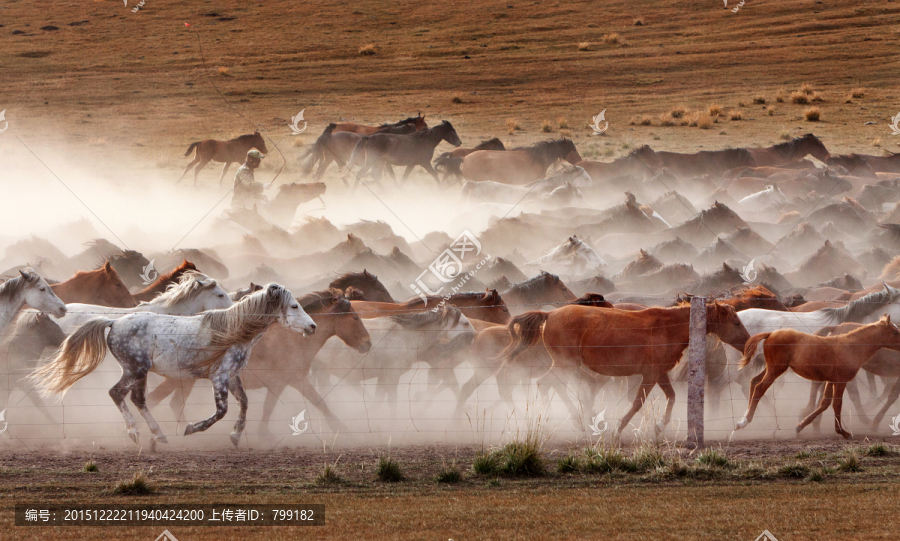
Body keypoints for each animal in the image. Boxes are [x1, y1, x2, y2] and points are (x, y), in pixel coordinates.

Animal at [30, 284, 316, 446]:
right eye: (294, 305)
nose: (312, 326)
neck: (231, 332)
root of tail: (113, 323)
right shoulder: (219, 378)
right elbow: (221, 411)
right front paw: (191, 429)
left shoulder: (232, 376)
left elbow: (244, 403)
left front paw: (235, 436)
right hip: (135, 369)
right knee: (117, 393)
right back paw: (135, 432)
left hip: (140, 373)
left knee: (138, 399)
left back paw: (158, 435)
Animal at [506, 302, 752, 432]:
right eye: (736, 322)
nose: (748, 344)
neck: (668, 328)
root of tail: (549, 314)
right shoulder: (649, 375)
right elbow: (638, 402)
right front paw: (620, 426)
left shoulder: (660, 373)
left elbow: (671, 396)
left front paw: (660, 426)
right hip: (564, 364)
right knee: (546, 383)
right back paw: (573, 421)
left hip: (566, 366)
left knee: (550, 385)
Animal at [736, 314, 900, 436]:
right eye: (895, 332)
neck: (850, 347)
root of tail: (771, 333)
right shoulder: (841, 381)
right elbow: (837, 404)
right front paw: (843, 432)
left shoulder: (831, 380)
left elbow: (825, 403)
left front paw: (800, 426)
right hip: (775, 369)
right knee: (759, 388)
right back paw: (744, 422)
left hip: (770, 368)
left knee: (753, 382)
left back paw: (744, 417)